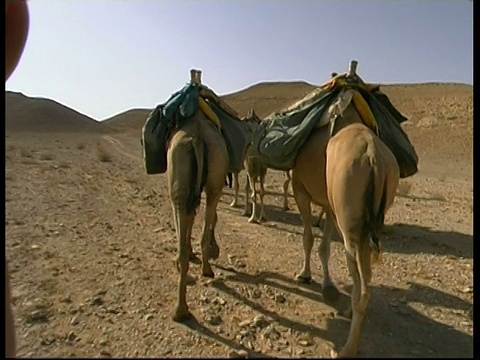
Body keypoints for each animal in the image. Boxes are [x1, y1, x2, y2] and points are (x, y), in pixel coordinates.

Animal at [290, 61, 400, 358]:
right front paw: (326, 287)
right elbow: (324, 245)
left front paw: (304, 275)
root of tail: (374, 157)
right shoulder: (330, 205)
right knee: (367, 279)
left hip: (351, 224)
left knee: (361, 286)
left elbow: (308, 237)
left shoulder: (300, 189)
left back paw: (346, 348)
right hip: (365, 220)